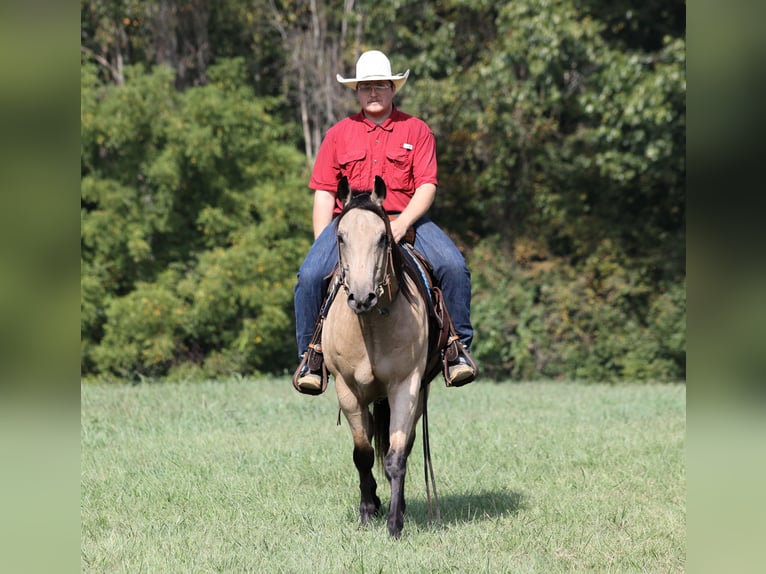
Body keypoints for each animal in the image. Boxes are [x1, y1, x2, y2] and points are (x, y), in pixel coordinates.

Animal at [322, 175, 434, 538]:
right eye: (340, 237)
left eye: (383, 236)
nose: (362, 297)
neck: (369, 327)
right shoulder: (347, 390)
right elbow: (362, 455)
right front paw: (367, 512)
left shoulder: (405, 386)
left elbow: (396, 457)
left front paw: (395, 524)